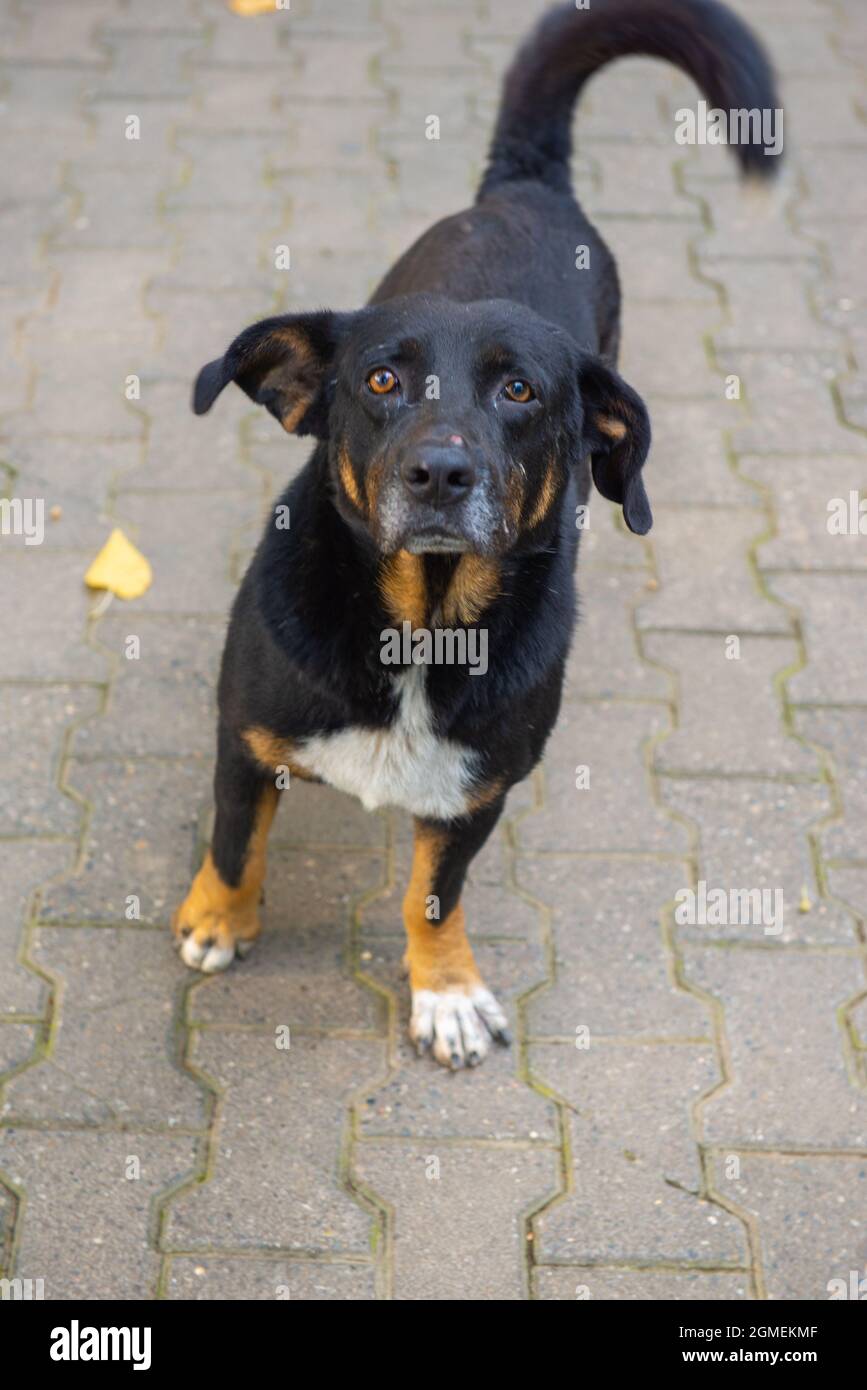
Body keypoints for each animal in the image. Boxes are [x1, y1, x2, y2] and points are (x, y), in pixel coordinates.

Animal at [172, 0, 783, 1067]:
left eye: (520, 392)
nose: (439, 474)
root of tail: (526, 185)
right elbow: (235, 843)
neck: (420, 624)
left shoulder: (478, 793)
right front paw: (218, 919)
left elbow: (432, 895)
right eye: (380, 379)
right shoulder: (243, 740)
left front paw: (445, 990)